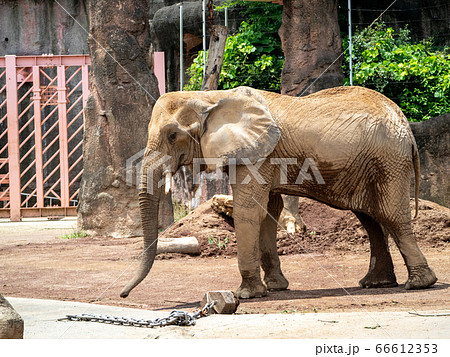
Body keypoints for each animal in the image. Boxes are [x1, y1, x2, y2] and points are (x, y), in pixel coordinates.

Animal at [119, 84, 436, 298]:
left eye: (173, 135)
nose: (123, 294)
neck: (211, 96)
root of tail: (406, 126)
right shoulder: (262, 156)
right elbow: (268, 212)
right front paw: (275, 287)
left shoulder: (258, 155)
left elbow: (249, 211)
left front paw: (247, 295)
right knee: (370, 218)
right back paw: (376, 283)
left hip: (389, 159)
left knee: (389, 215)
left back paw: (419, 284)